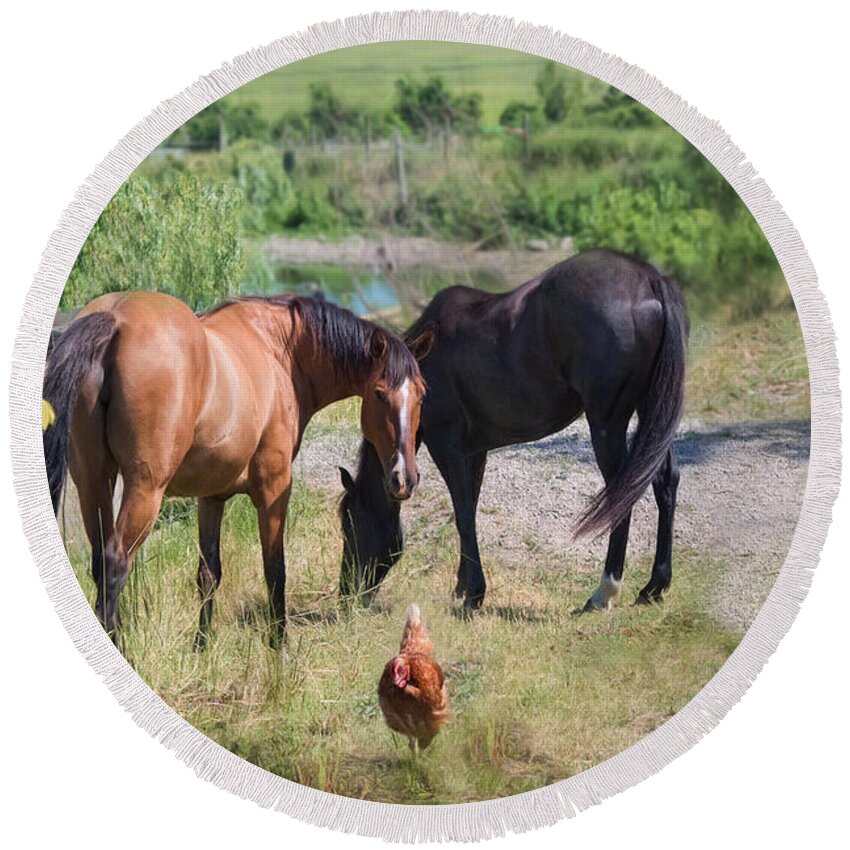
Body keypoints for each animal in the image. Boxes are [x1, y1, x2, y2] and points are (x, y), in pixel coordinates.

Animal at [42, 292, 430, 644]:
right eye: (379, 393)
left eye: (422, 394)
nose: (404, 478)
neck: (279, 351)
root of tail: (115, 317)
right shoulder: (274, 489)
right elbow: (275, 570)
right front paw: (278, 648)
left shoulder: (211, 497)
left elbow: (208, 573)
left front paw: (202, 649)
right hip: (144, 489)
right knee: (115, 562)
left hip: (94, 481)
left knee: (99, 561)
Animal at [334, 248, 684, 612]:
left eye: (349, 521)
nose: (347, 595)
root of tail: (648, 279)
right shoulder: (474, 452)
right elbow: (469, 511)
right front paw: (463, 588)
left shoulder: (447, 446)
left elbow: (463, 516)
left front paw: (474, 595)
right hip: (652, 408)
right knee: (663, 481)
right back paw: (654, 587)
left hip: (607, 422)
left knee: (621, 493)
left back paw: (603, 593)